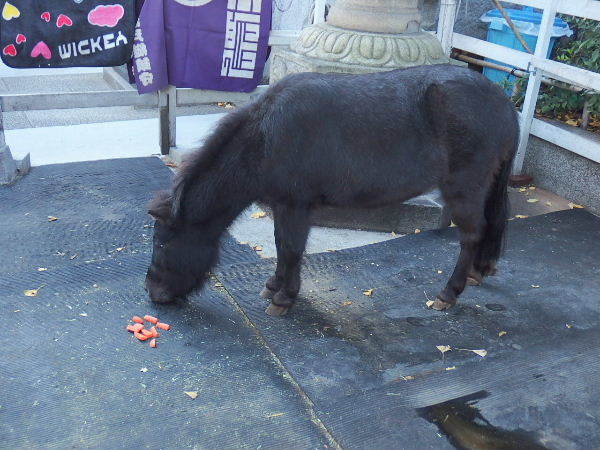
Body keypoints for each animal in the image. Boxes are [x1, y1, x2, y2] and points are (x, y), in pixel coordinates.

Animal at [144, 63, 516, 316]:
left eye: (162, 243)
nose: (153, 293)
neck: (265, 137)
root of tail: (502, 101)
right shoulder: (282, 205)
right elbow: (281, 245)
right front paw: (274, 286)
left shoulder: (296, 205)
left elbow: (292, 249)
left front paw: (285, 297)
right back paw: (478, 272)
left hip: (464, 188)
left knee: (471, 235)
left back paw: (449, 292)